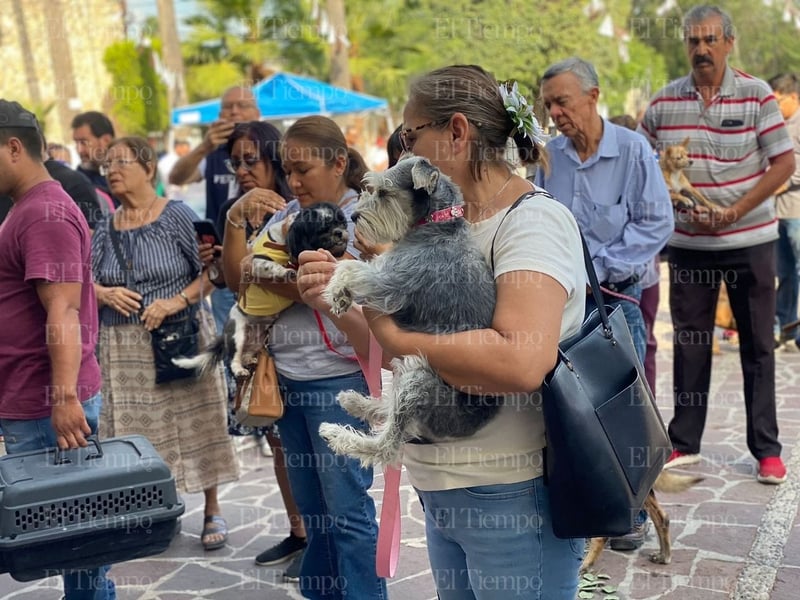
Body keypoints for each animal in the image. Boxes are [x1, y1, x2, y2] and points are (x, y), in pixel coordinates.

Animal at [173, 204, 348, 378]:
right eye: (322, 229)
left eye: (342, 223)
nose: (339, 232)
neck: (285, 239)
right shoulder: (258, 263)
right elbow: (273, 266)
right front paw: (286, 272)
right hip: (238, 333)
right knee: (233, 358)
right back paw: (239, 370)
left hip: (258, 340)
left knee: (246, 353)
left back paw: (249, 360)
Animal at [320, 157, 500, 466]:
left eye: (383, 192)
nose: (354, 216)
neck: (438, 222)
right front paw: (340, 295)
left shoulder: (389, 281)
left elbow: (350, 267)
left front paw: (337, 293)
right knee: (389, 410)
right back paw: (356, 402)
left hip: (418, 379)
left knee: (387, 444)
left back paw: (338, 435)